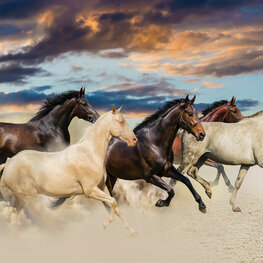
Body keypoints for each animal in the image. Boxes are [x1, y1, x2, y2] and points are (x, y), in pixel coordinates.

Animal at [0, 106, 139, 234]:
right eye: (120, 121)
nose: (134, 140)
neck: (89, 153)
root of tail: (8, 164)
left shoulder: (102, 187)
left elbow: (116, 207)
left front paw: (132, 231)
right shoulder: (90, 190)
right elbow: (114, 202)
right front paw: (105, 224)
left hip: (21, 198)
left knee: (17, 212)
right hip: (29, 197)